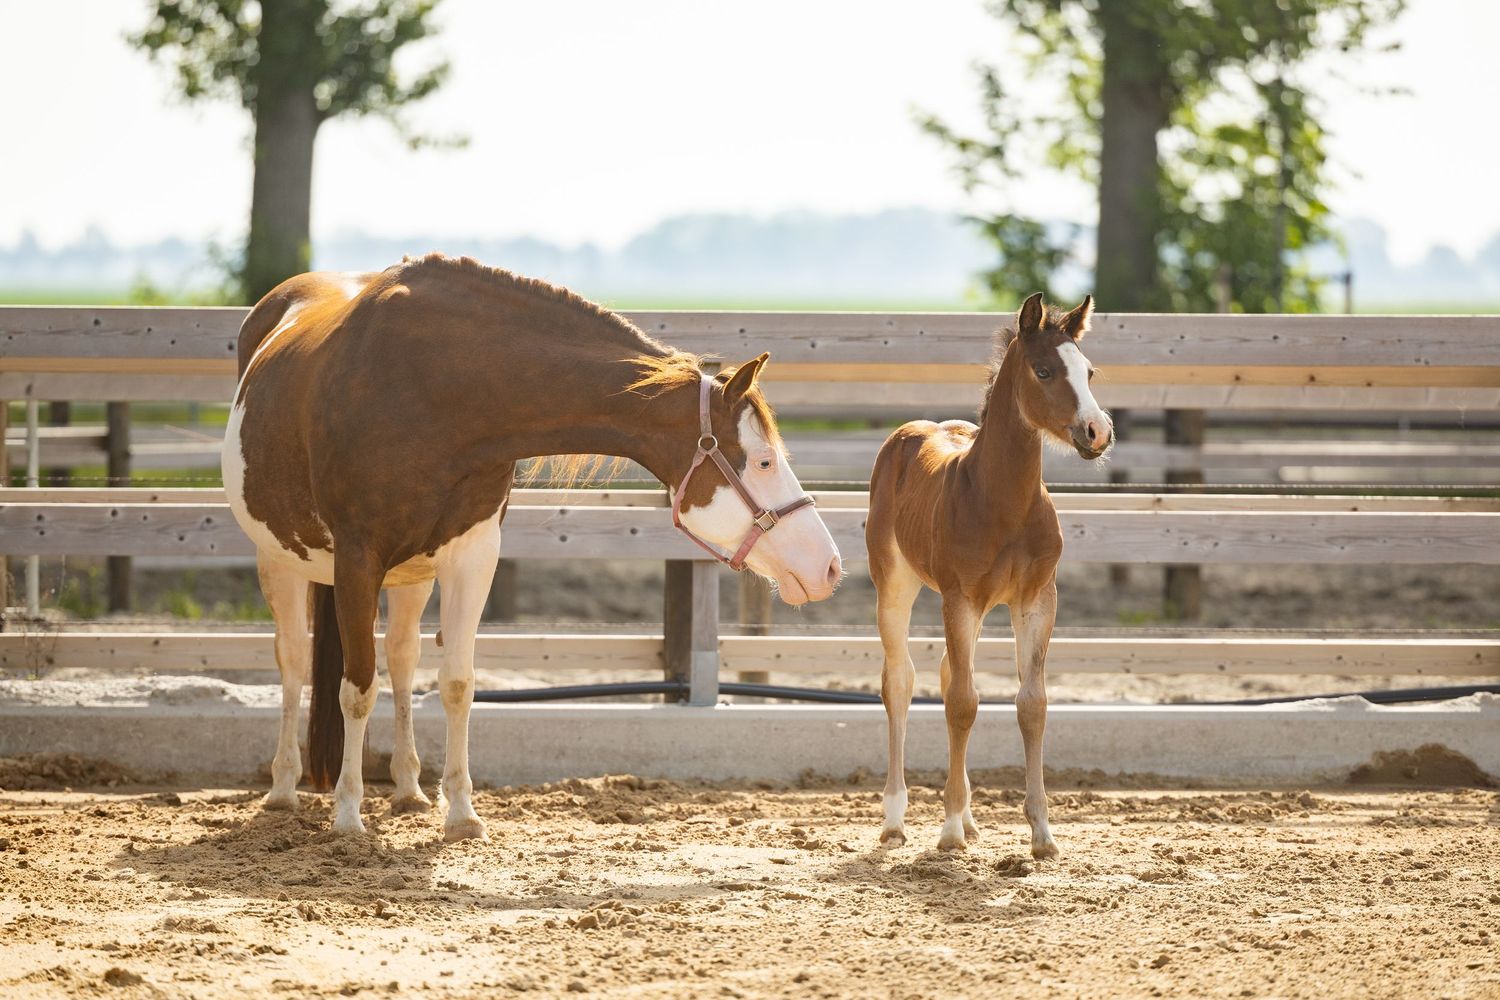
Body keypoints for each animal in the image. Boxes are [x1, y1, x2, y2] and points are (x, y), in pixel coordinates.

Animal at [222, 253, 842, 840]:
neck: (433, 387)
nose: (830, 566)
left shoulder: (471, 554)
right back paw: (283, 788)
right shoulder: (357, 558)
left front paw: (461, 814)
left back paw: (408, 788)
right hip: (281, 560)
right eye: (763, 461)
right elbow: (356, 689)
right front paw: (348, 815)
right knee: (294, 661)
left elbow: (456, 684)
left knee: (401, 659)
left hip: (411, 575)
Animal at [865, 292, 1111, 857]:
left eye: (1089, 371)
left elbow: (1030, 704)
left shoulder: (1038, 599)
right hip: (895, 583)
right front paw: (949, 831)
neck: (1004, 502)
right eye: (1043, 370)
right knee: (900, 682)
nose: (1098, 431)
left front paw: (1042, 834)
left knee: (947, 673)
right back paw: (896, 819)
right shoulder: (959, 598)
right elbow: (962, 703)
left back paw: (972, 819)